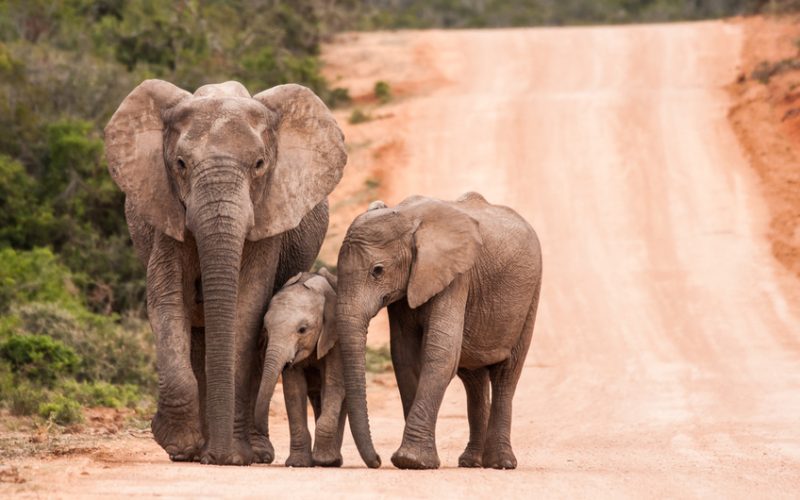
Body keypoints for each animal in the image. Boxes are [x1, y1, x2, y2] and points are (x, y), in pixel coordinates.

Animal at [254, 268, 346, 467]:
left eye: (302, 330)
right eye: (266, 329)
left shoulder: (336, 339)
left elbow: (333, 385)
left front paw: (325, 461)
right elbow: (294, 390)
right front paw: (297, 463)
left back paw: (334, 460)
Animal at [336, 193, 542, 470]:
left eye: (377, 270)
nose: (377, 460)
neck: (407, 217)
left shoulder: (457, 277)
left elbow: (440, 353)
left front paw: (411, 460)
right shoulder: (407, 288)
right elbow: (404, 356)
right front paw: (413, 460)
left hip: (530, 297)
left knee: (506, 375)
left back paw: (501, 464)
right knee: (474, 378)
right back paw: (471, 462)